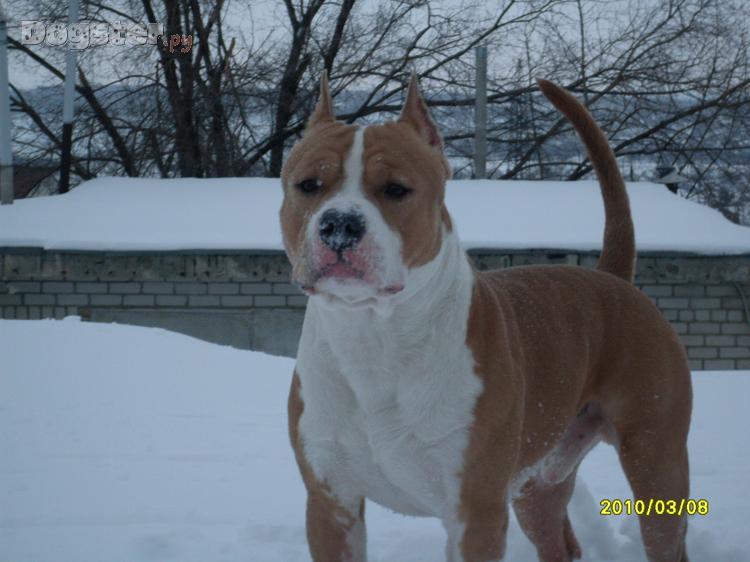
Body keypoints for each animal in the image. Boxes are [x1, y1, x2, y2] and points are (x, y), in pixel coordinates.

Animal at [280, 71, 692, 562]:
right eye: (309, 185)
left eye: (396, 189)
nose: (339, 225)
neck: (373, 337)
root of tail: (612, 279)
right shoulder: (331, 505)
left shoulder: (474, 513)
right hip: (537, 482)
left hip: (656, 462)